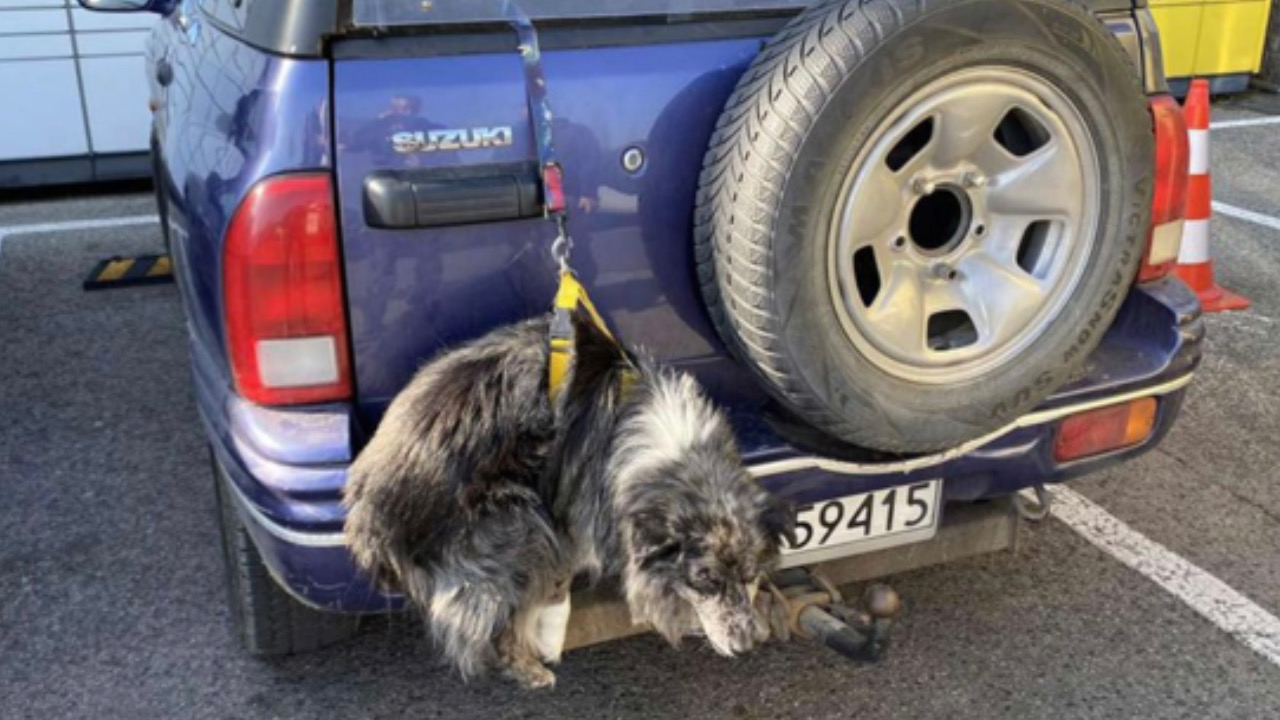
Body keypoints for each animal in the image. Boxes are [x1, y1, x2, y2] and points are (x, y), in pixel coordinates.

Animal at [345, 307, 793, 681]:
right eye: (704, 580)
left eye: (750, 574)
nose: (746, 645)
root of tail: (364, 513)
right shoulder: (577, 508)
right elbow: (561, 575)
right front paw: (550, 632)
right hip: (517, 518)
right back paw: (529, 668)